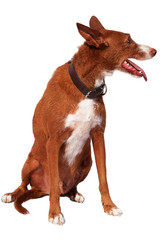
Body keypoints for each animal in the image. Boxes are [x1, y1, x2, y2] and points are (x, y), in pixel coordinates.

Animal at [1, 16, 156, 225]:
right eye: (128, 40)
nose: (155, 51)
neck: (86, 88)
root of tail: (41, 190)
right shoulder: (53, 141)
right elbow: (54, 182)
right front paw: (55, 213)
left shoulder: (98, 136)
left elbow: (103, 178)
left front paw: (110, 206)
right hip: (30, 162)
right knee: (26, 185)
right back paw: (11, 194)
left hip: (87, 160)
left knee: (66, 188)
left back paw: (74, 193)